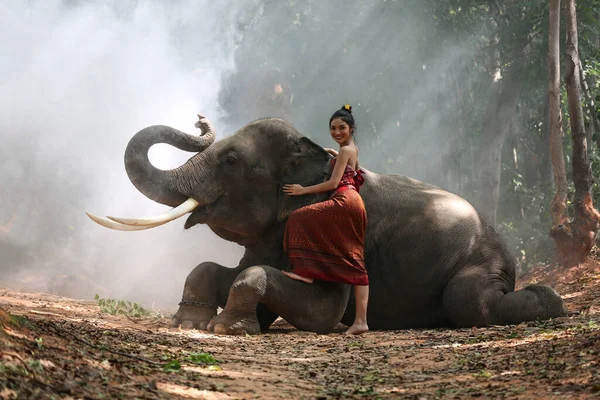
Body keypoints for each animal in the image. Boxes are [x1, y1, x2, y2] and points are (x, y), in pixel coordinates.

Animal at [85, 115, 568, 334]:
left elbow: (323, 308)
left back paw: (552, 303)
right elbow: (231, 269)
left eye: (232, 160)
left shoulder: (329, 232)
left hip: (479, 265)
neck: (314, 149)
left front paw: (230, 328)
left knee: (468, 301)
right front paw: (190, 322)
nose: (201, 119)